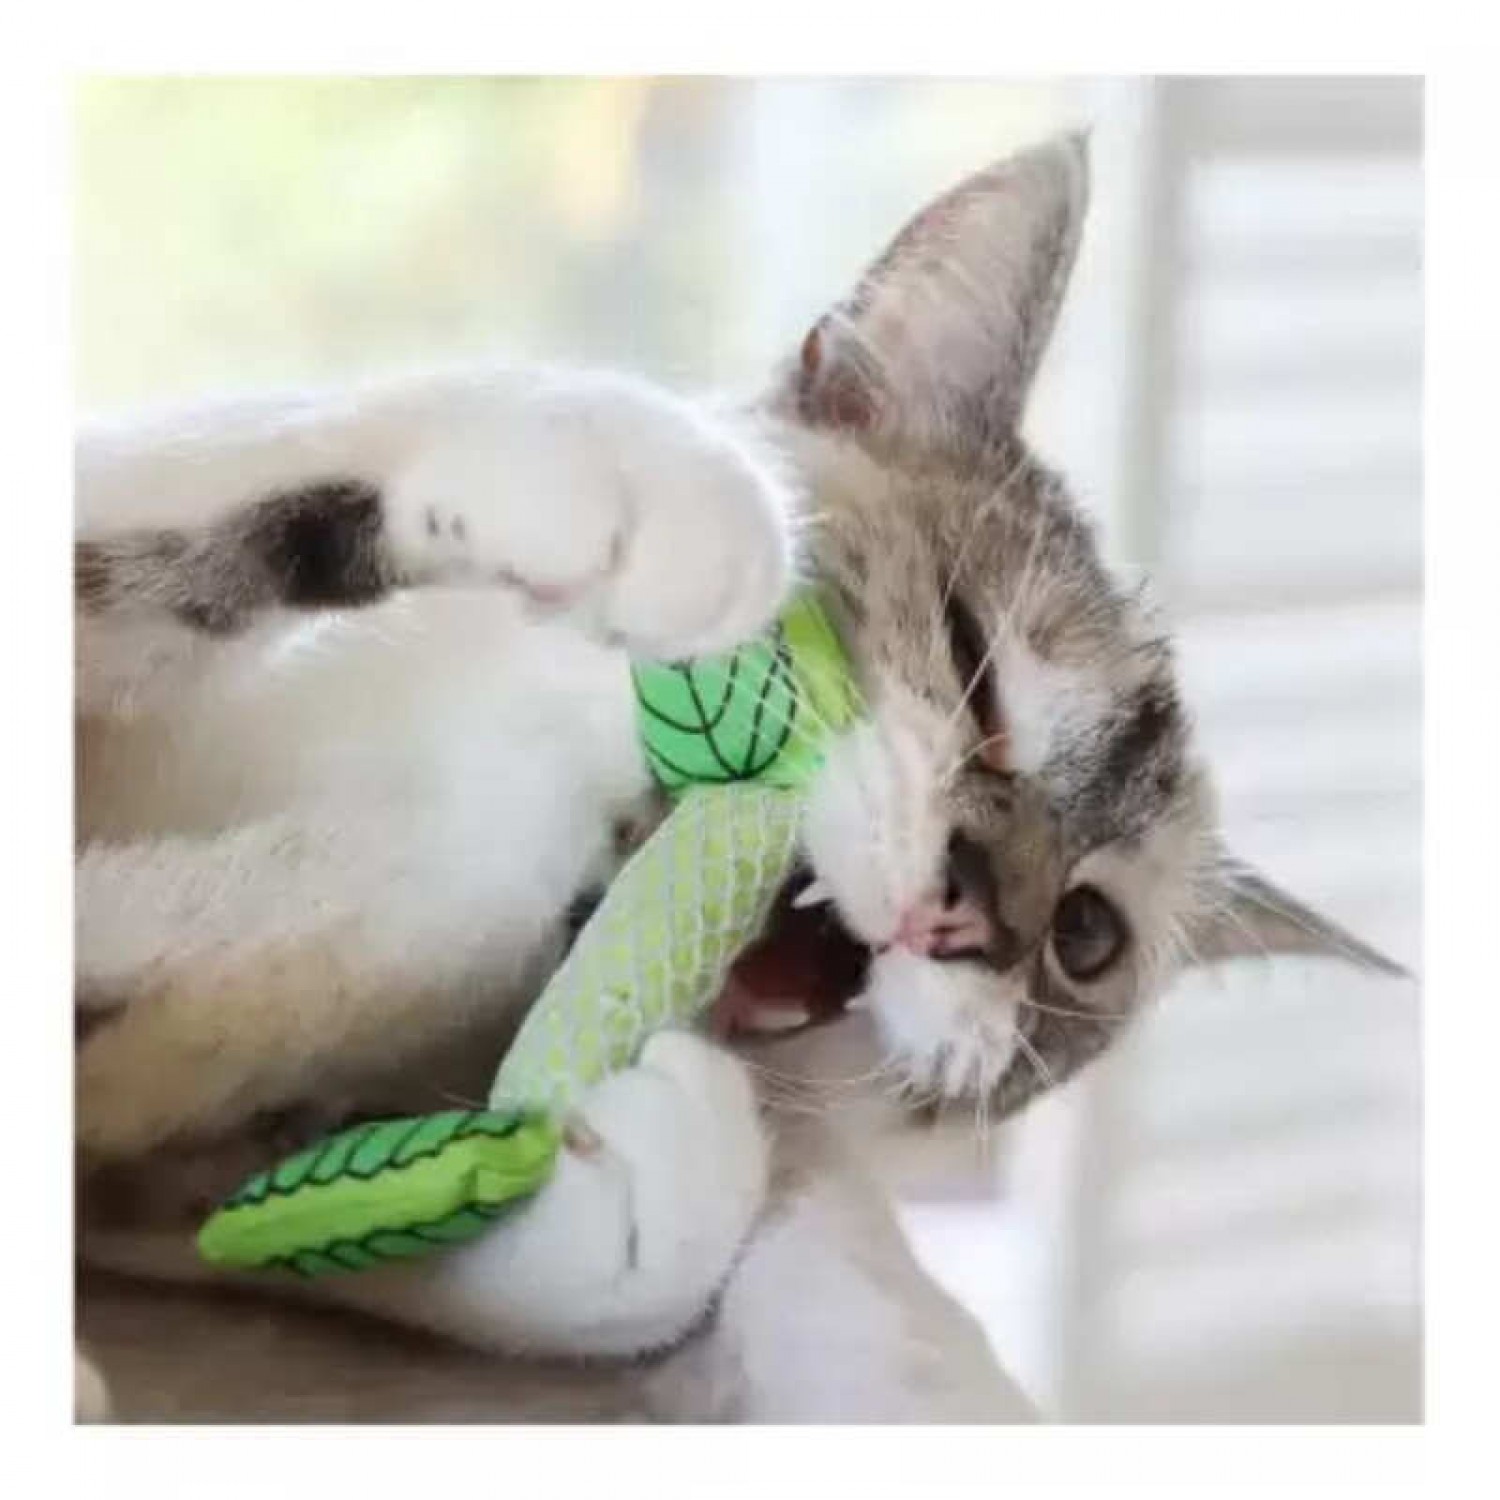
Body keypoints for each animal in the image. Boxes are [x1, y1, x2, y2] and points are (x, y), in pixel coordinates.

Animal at [73, 132, 1395, 1423]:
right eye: (972, 660)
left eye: (1083, 935)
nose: (975, 911)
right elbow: (193, 471)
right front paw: (624, 471)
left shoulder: (188, 1160)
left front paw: (624, 1193)